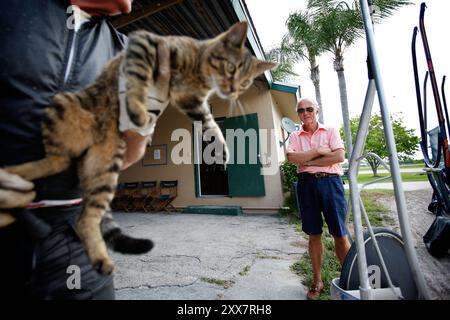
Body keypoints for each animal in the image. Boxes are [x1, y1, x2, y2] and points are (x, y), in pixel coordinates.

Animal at [1, 21, 276, 274]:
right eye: (231, 68)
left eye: (245, 82)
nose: (233, 91)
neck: (199, 73)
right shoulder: (145, 44)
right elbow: (137, 76)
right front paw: (137, 108)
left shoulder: (193, 102)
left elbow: (209, 124)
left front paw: (220, 147)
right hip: (63, 103)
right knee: (56, 161)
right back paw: (14, 177)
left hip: (105, 167)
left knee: (82, 210)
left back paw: (101, 259)